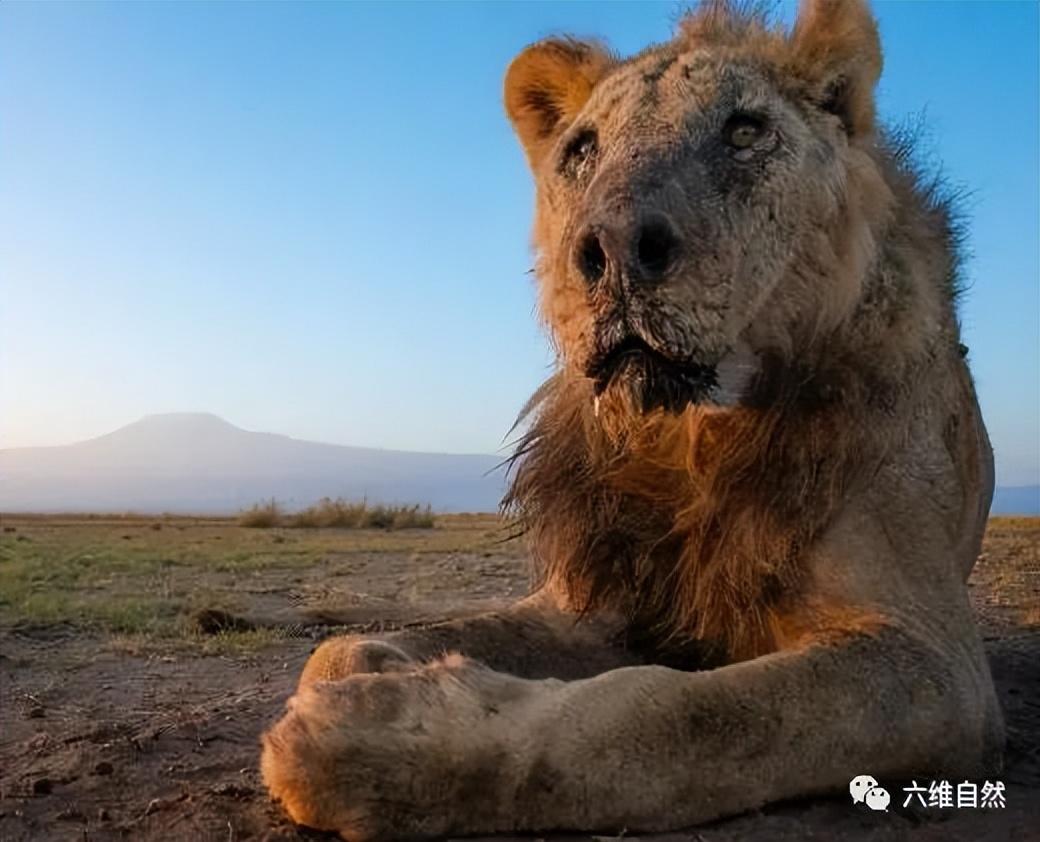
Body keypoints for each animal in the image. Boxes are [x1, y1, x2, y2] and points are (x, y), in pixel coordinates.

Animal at [257, 3, 998, 835]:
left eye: (745, 131)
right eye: (582, 149)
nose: (612, 249)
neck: (685, 435)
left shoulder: (935, 664)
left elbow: (674, 717)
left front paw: (383, 739)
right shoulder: (593, 601)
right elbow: (344, 650)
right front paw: (378, 664)